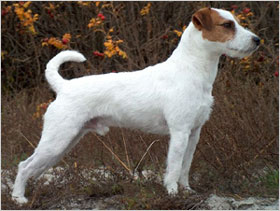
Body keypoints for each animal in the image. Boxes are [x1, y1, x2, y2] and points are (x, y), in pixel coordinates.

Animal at [12, 7, 260, 204]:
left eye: (236, 22)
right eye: (227, 25)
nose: (257, 40)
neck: (191, 70)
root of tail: (64, 86)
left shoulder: (194, 133)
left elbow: (185, 167)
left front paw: (187, 191)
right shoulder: (179, 132)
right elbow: (174, 168)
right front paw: (173, 193)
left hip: (64, 142)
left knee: (34, 167)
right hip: (57, 140)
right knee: (24, 166)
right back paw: (18, 198)